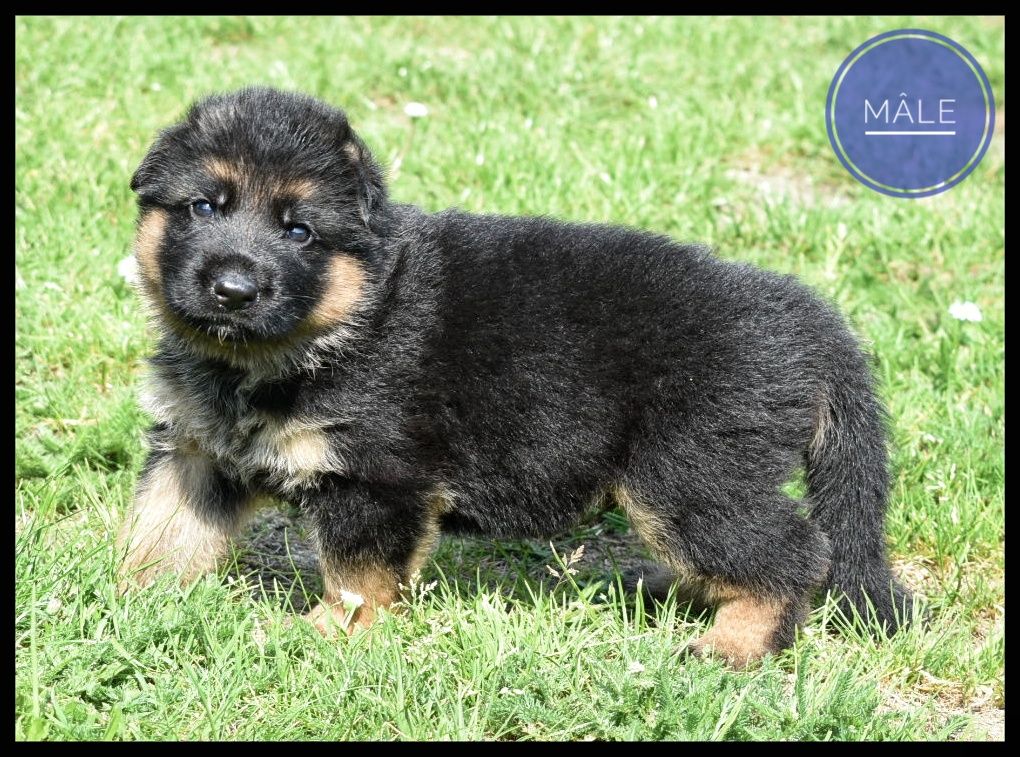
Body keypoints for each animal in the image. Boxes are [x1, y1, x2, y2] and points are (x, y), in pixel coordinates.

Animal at [117, 86, 913, 668]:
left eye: (299, 231)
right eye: (204, 206)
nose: (232, 289)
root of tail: (810, 320)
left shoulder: (375, 478)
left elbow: (356, 576)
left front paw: (327, 634)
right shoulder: (194, 449)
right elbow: (160, 529)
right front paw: (122, 598)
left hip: (687, 472)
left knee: (794, 552)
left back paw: (733, 643)